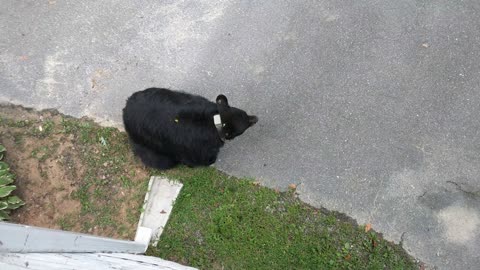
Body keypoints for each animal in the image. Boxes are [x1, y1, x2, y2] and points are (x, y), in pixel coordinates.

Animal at [124, 88, 258, 169]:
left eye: (245, 114)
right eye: (246, 125)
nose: (256, 118)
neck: (216, 122)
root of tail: (125, 110)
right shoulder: (196, 147)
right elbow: (198, 159)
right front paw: (210, 160)